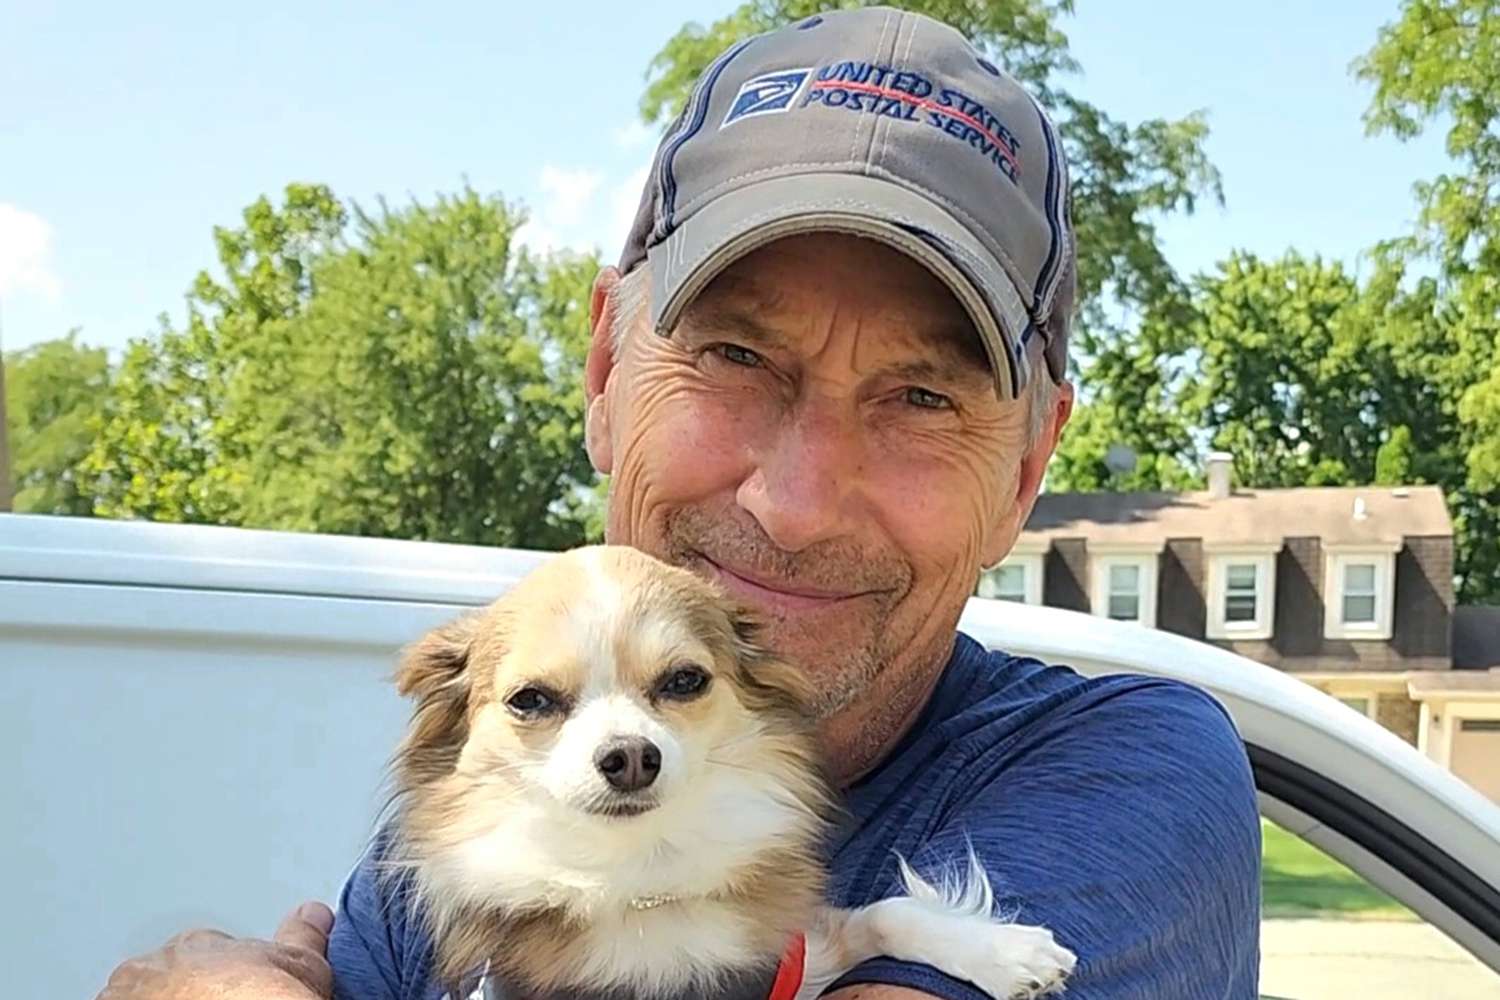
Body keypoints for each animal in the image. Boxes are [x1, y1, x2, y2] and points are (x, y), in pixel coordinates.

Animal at [381, 548, 1074, 1000]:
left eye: (685, 680)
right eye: (530, 699)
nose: (630, 756)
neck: (643, 880)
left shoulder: (804, 957)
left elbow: (888, 911)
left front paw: (1005, 952)